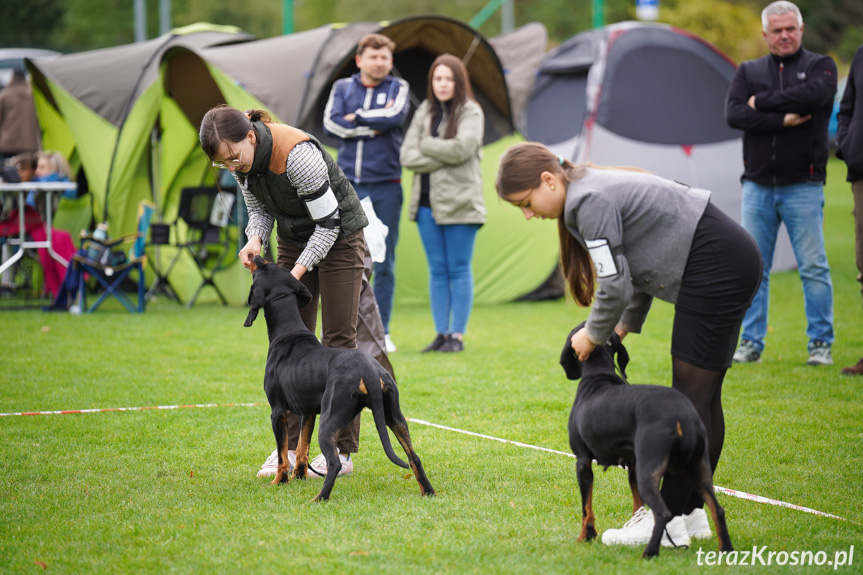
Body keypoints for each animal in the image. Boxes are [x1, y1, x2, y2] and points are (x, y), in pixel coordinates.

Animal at [243, 254, 436, 502]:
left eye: (263, 267)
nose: (256, 255)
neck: (288, 332)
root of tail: (369, 369)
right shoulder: (308, 412)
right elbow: (302, 450)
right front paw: (300, 477)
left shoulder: (278, 411)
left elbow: (283, 456)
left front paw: (279, 482)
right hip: (394, 416)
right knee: (415, 457)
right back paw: (428, 492)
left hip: (330, 419)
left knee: (334, 463)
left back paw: (319, 498)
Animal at [560, 322, 736, 560]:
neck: (598, 376)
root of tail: (684, 416)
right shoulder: (632, 463)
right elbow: (637, 504)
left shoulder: (582, 461)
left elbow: (586, 507)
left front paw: (586, 536)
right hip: (698, 468)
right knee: (718, 509)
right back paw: (726, 550)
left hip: (649, 472)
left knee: (664, 512)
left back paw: (649, 552)